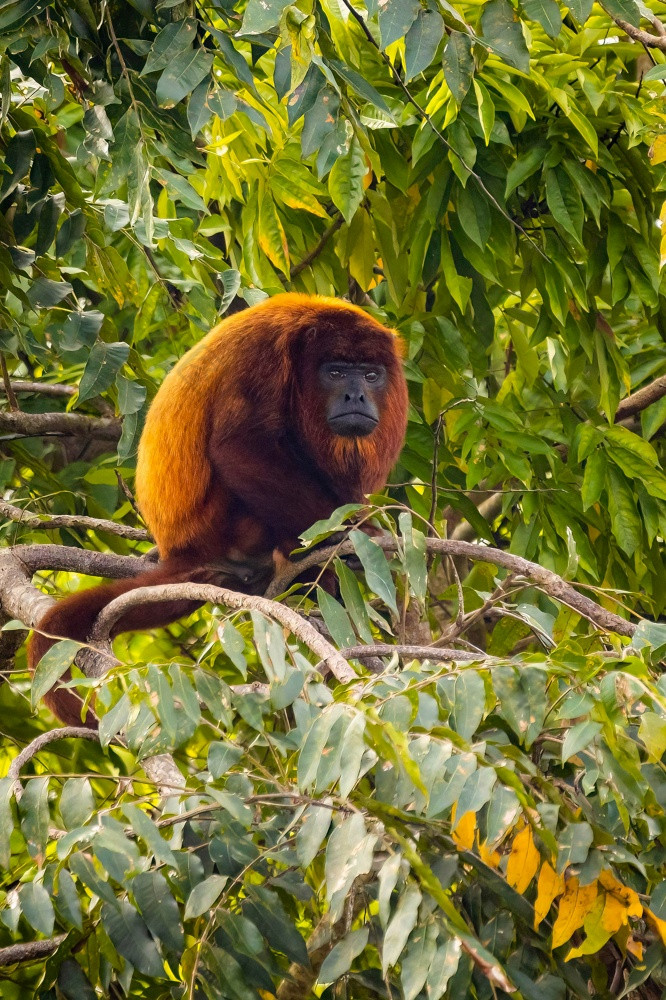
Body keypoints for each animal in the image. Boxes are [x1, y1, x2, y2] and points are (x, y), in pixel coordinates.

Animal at [28, 292, 408, 724]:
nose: (356, 396)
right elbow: (238, 448)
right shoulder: (263, 357)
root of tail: (184, 552)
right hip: (224, 524)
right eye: (336, 372)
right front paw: (357, 533)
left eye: (371, 375)